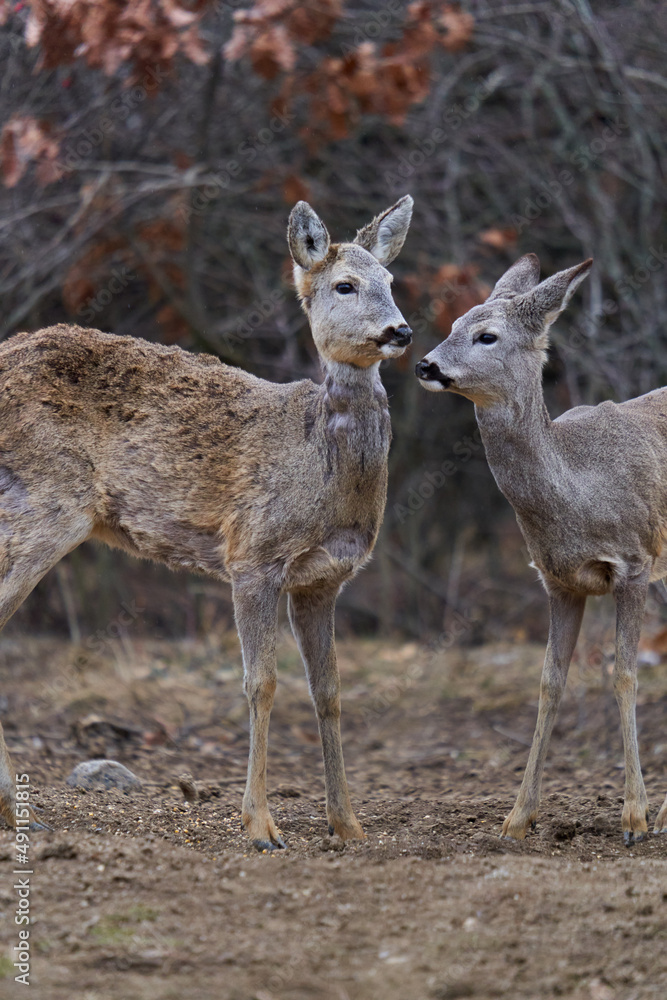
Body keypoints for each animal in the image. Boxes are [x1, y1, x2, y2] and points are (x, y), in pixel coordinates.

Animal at [0, 195, 414, 850]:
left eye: (392, 282)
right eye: (344, 284)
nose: (400, 331)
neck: (319, 464)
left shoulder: (323, 580)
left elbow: (329, 691)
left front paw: (348, 825)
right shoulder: (253, 556)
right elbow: (260, 684)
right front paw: (262, 826)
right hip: (47, 504)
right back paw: (18, 812)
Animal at [415, 253, 667, 845]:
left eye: (487, 335)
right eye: (453, 322)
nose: (425, 364)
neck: (576, 487)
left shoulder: (635, 563)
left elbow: (624, 674)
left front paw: (635, 818)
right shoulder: (558, 580)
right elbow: (551, 681)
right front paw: (517, 818)